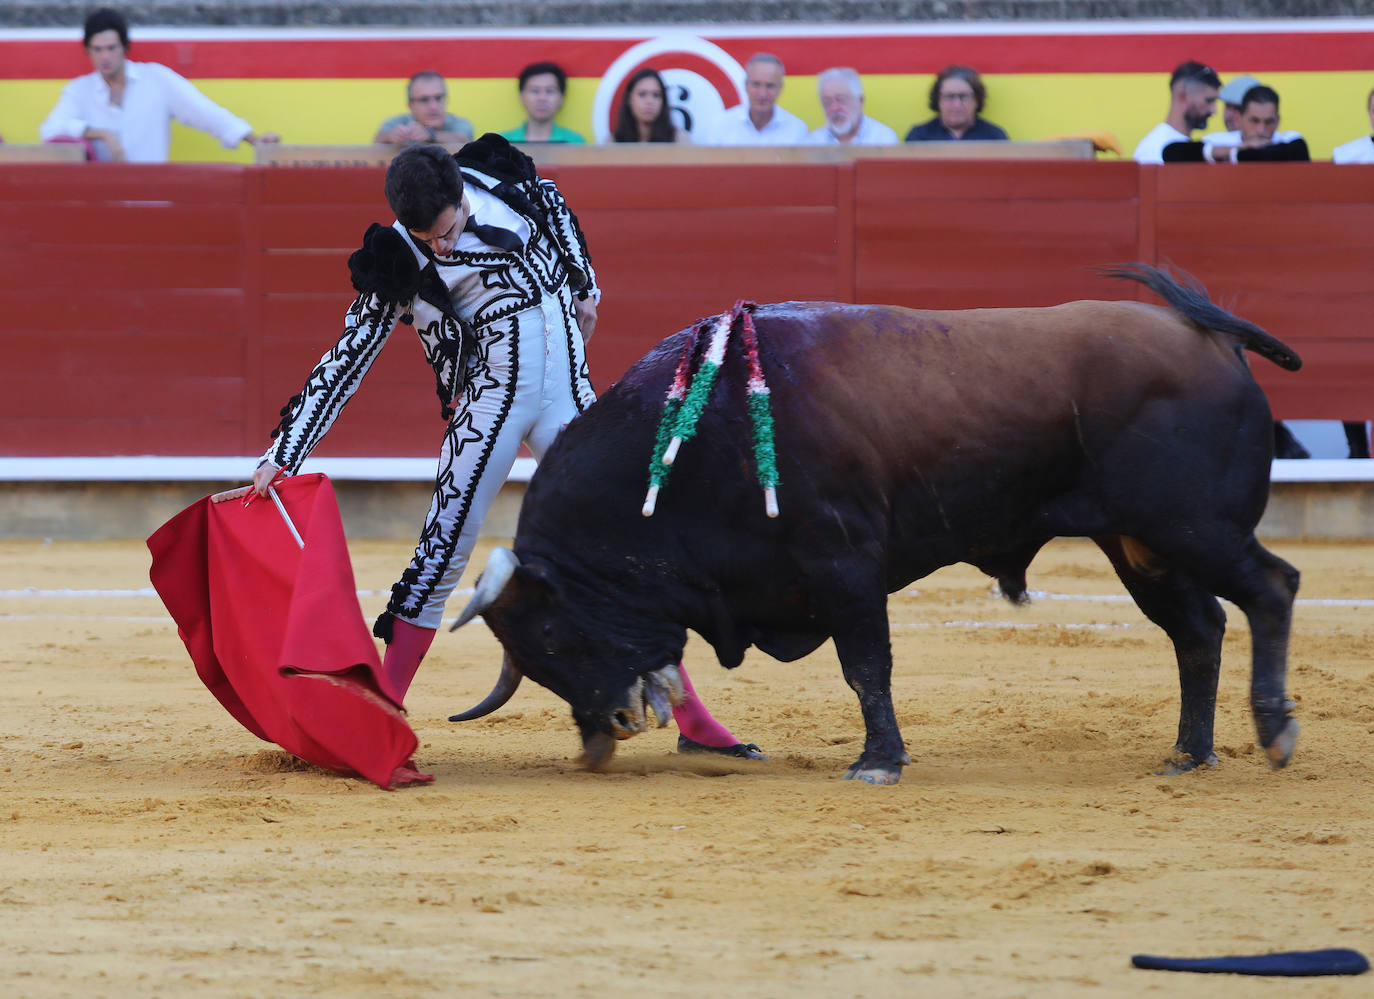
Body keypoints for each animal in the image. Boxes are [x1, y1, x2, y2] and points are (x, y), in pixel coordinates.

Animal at [447, 267, 1297, 791]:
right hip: (1144, 547)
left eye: (552, 636)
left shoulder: (844, 564)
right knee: (1198, 628)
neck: (694, 436)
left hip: (1194, 526)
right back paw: (1189, 752)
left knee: (1271, 588)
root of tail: (1214, 338)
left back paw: (1274, 732)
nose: (606, 732)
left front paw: (879, 762)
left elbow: (865, 666)